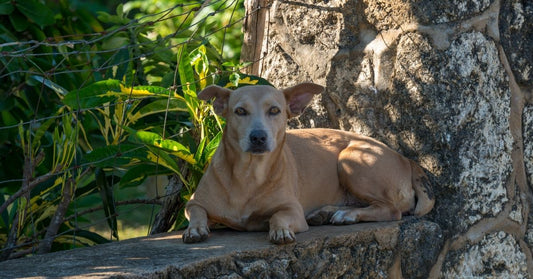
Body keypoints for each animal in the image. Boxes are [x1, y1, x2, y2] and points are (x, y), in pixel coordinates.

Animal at [182, 83, 432, 245]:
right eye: (240, 111)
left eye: (275, 110)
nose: (258, 137)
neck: (248, 174)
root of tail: (406, 159)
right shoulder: (194, 203)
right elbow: (197, 213)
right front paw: (195, 229)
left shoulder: (292, 209)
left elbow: (278, 216)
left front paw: (281, 231)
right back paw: (328, 213)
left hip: (350, 159)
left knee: (390, 209)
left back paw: (348, 215)